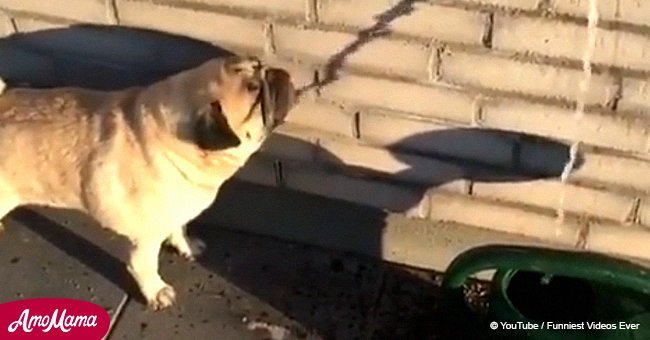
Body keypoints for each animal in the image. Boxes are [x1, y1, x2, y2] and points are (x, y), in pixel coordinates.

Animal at [0, 57, 294, 310]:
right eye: (255, 94)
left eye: (259, 65)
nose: (275, 72)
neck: (170, 140)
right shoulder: (146, 236)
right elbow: (143, 266)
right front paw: (156, 292)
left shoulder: (174, 210)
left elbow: (179, 229)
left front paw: (186, 246)